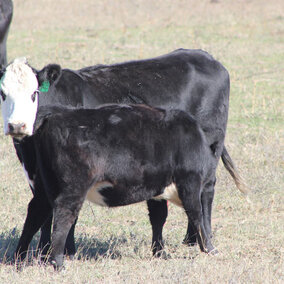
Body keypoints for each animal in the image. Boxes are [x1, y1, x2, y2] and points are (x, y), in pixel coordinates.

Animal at [0, 50, 247, 262]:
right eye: (2, 94)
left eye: (34, 93)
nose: (17, 125)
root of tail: (205, 57)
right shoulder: (37, 175)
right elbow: (44, 212)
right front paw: (44, 251)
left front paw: (65, 251)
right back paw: (187, 241)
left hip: (207, 154)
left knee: (205, 193)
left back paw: (202, 240)